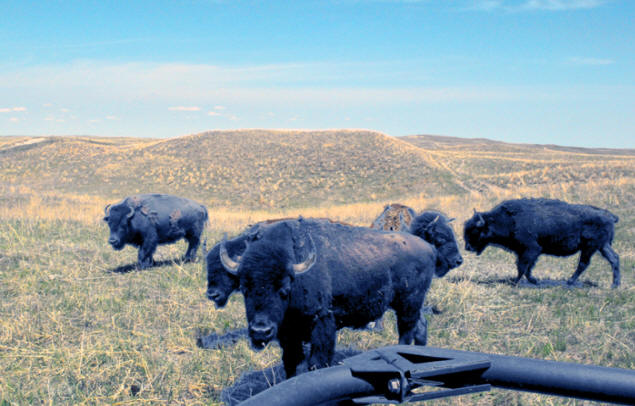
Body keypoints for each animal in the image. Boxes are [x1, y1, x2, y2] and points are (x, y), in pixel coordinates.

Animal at [220, 217, 462, 380]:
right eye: (244, 288)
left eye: (284, 288)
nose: (260, 331)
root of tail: (428, 247)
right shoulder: (288, 333)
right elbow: (291, 363)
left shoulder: (322, 323)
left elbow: (316, 362)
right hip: (411, 304)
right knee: (420, 325)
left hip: (408, 303)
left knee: (407, 331)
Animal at [464, 197, 620, 288]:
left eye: (475, 231)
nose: (467, 247)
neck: (506, 219)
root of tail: (609, 215)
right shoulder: (525, 252)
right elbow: (526, 267)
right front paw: (530, 280)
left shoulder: (531, 249)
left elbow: (523, 267)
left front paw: (518, 282)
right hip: (602, 246)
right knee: (614, 259)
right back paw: (615, 285)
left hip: (590, 247)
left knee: (584, 263)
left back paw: (569, 282)